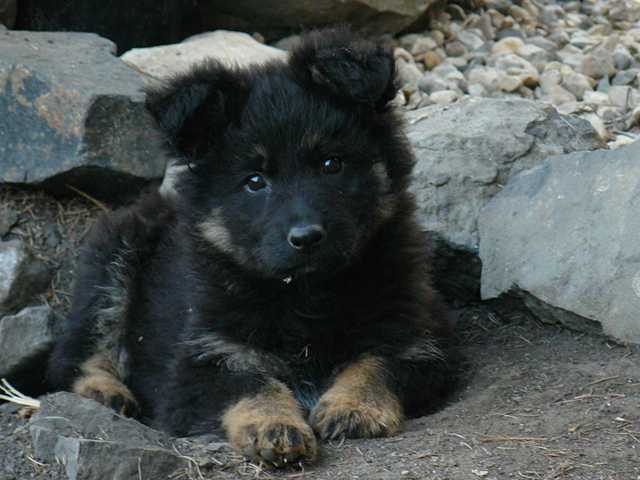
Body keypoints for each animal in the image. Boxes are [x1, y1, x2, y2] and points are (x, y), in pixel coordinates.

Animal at [45, 27, 456, 467]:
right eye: (255, 181)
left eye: (331, 164)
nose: (306, 237)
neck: (306, 294)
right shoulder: (202, 357)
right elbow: (248, 383)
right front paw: (274, 425)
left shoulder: (416, 337)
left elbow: (378, 361)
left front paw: (354, 405)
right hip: (111, 263)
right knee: (78, 352)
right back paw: (105, 391)